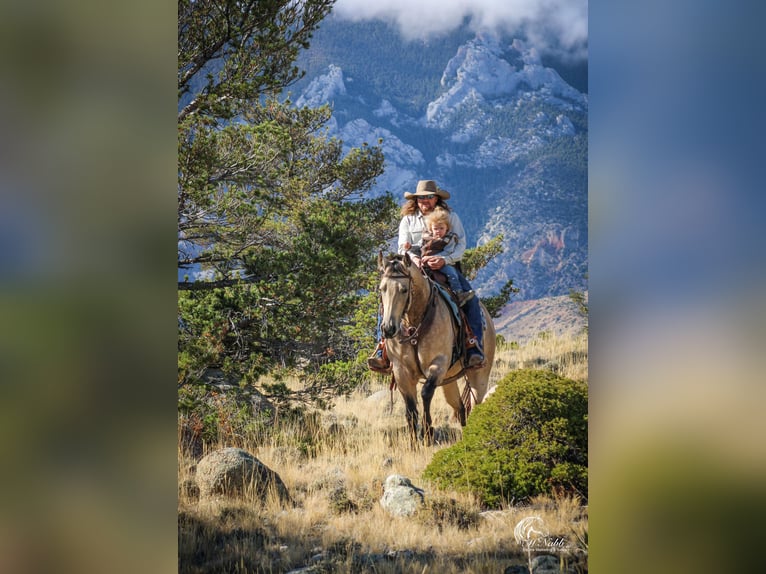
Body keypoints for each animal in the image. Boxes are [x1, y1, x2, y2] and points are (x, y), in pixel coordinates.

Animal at [378, 254, 498, 448]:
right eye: (382, 289)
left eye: (404, 289)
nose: (388, 329)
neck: (414, 324)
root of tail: (488, 319)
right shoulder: (401, 371)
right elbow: (410, 408)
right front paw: (413, 443)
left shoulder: (438, 365)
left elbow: (426, 393)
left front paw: (428, 434)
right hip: (449, 380)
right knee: (460, 407)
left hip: (479, 375)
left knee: (476, 404)